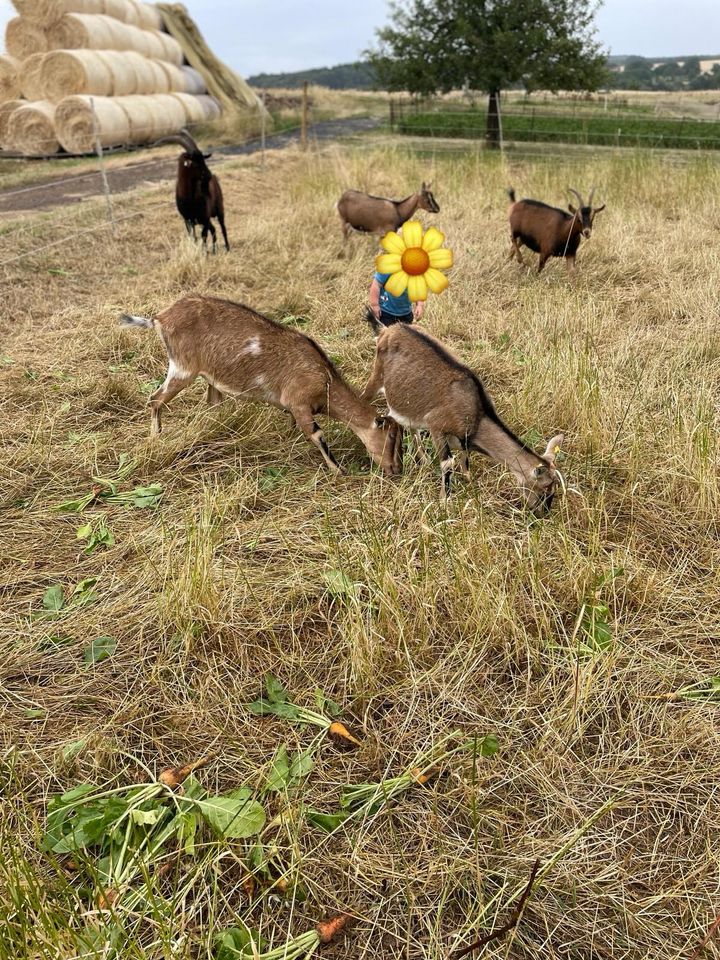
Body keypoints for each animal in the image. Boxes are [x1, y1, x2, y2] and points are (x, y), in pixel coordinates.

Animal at [118, 292, 400, 472]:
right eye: (392, 438)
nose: (394, 469)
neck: (324, 379)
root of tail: (160, 317)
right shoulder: (298, 401)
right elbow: (317, 434)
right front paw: (339, 471)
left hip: (207, 376)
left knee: (211, 403)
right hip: (182, 368)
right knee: (155, 399)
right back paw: (156, 439)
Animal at [360, 316, 564, 510]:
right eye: (545, 487)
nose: (543, 513)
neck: (477, 416)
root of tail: (388, 329)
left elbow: (465, 460)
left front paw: (469, 481)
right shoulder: (437, 426)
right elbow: (447, 464)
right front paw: (444, 500)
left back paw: (424, 459)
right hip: (376, 376)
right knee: (364, 399)